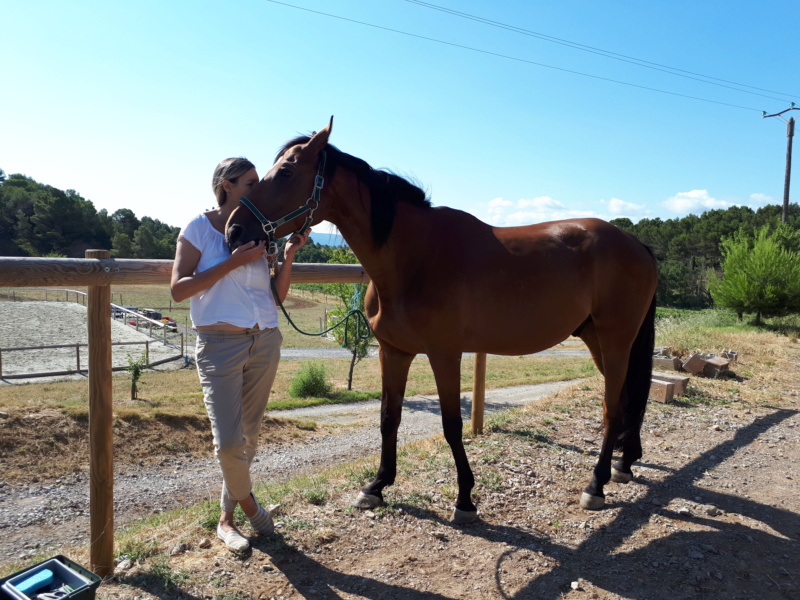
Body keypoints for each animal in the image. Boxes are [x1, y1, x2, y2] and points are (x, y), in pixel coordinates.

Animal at [223, 119, 656, 524]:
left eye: (286, 172)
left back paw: (596, 484)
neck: (413, 257)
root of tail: (636, 244)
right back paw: (622, 464)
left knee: (612, 407)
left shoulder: (445, 355)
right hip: (596, 339)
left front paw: (465, 498)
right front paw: (377, 486)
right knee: (624, 401)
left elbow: (451, 425)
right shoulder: (394, 353)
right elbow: (389, 418)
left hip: (615, 340)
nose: (234, 229)